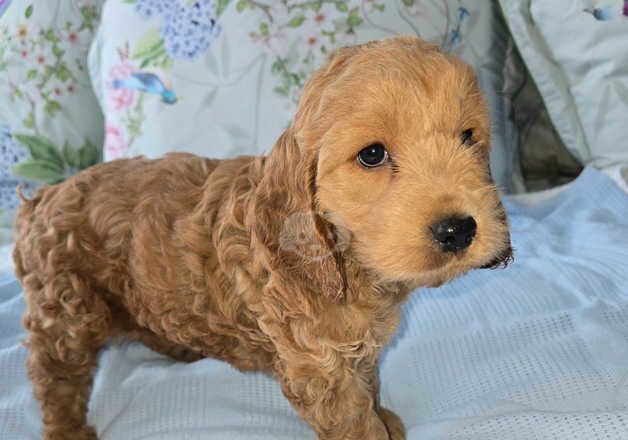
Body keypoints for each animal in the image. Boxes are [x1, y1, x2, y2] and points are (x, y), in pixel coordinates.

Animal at [13, 37, 510, 440]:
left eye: (468, 137)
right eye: (372, 154)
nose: (458, 229)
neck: (341, 260)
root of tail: (42, 198)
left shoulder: (358, 351)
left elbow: (369, 386)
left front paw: (384, 415)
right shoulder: (317, 367)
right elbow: (352, 419)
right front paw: (376, 429)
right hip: (67, 314)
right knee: (54, 376)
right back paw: (68, 428)